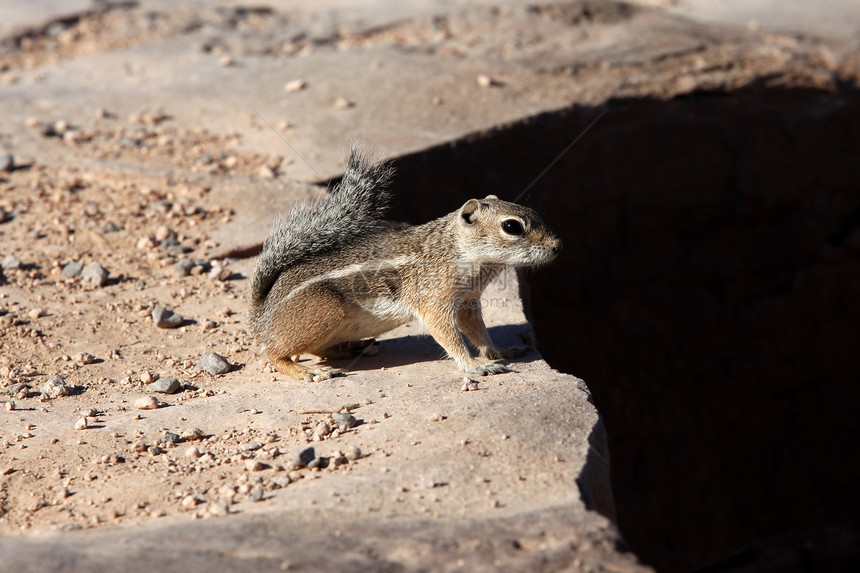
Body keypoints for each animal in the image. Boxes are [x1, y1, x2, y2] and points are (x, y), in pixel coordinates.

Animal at [249, 145, 560, 382]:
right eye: (512, 227)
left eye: (533, 211)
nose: (557, 246)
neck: (456, 250)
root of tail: (260, 318)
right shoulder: (435, 300)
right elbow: (449, 335)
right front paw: (474, 366)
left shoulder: (468, 301)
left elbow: (479, 333)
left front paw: (501, 352)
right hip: (324, 311)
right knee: (274, 354)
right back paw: (307, 372)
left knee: (317, 350)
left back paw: (351, 349)